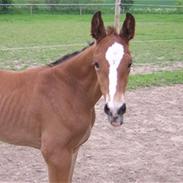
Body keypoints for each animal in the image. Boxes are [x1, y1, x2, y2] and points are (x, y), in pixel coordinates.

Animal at [0, 11, 134, 183]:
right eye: (96, 63)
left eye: (130, 63)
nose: (115, 111)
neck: (69, 90)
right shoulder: (56, 156)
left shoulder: (73, 150)